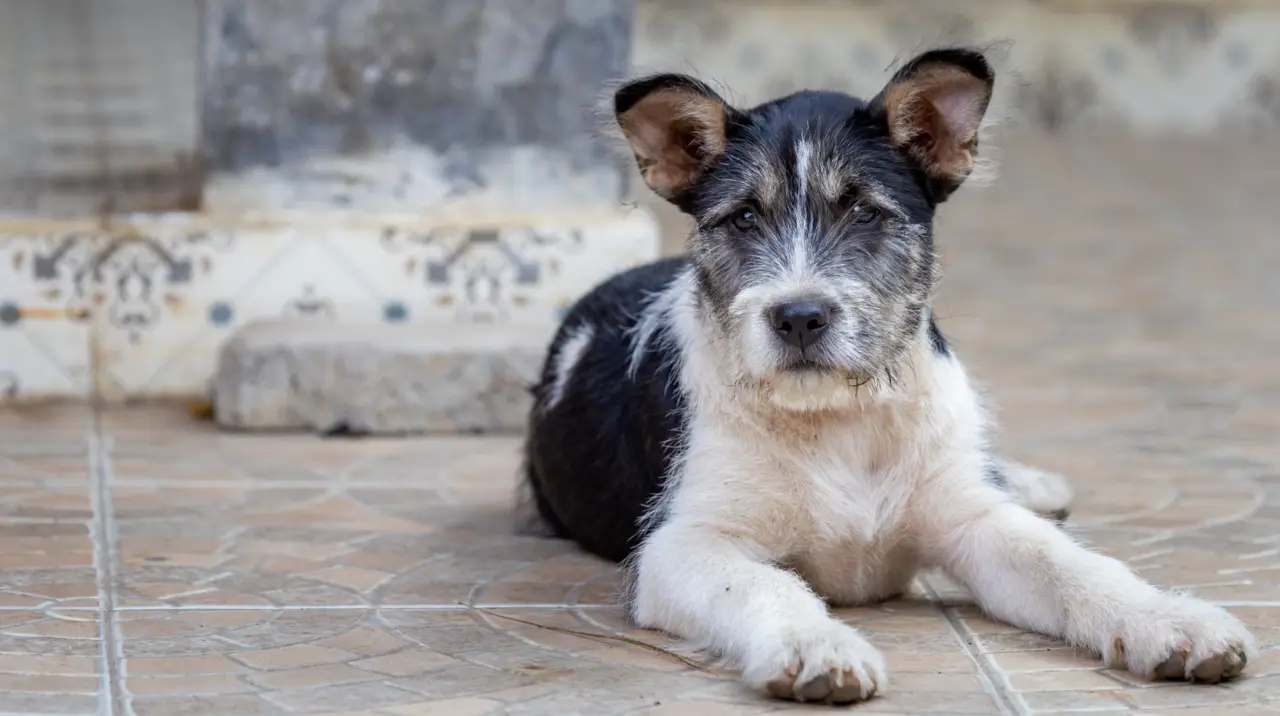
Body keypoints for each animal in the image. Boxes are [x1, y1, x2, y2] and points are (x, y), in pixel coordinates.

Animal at [517, 46, 1249, 707]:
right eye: (745, 217)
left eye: (865, 212)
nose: (799, 317)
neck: (840, 416)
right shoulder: (682, 545)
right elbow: (765, 585)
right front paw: (816, 647)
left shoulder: (975, 521)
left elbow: (1073, 565)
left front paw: (1172, 621)